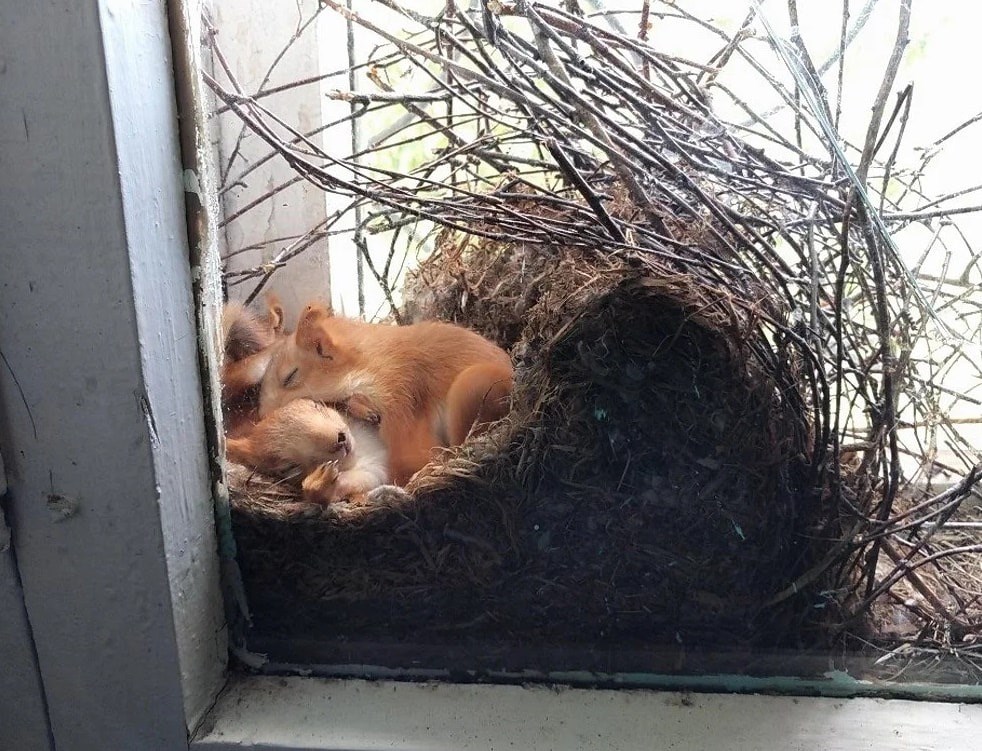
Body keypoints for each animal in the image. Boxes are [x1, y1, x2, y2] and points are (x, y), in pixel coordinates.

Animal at [223, 302, 516, 484]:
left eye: (290, 376)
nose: (260, 416)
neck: (370, 363)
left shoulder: (398, 394)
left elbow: (410, 454)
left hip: (471, 388)